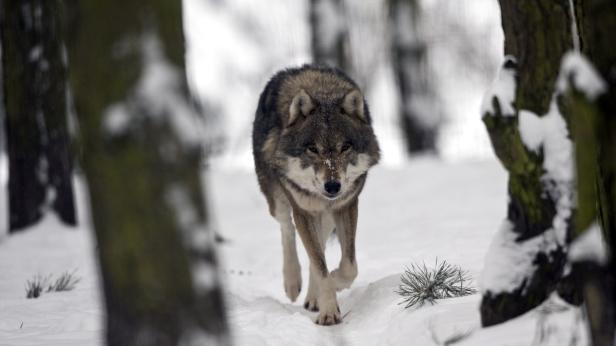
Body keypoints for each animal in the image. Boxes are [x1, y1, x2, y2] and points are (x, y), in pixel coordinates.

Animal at [251, 64, 378, 324]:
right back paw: (292, 283)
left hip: (327, 216)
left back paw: (313, 297)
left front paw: (335, 283)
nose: (332, 187)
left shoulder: (346, 205)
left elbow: (347, 266)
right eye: (313, 149)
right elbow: (319, 265)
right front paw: (329, 311)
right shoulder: (304, 211)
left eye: (345, 147)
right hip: (279, 201)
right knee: (287, 230)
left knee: (317, 247)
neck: (323, 93)